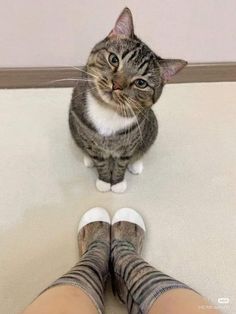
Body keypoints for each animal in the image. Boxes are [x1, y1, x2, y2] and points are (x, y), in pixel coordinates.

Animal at [69, 7, 187, 193]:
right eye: (113, 59)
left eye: (141, 83)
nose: (116, 85)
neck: (108, 111)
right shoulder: (90, 139)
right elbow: (99, 160)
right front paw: (104, 181)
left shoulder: (129, 145)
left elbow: (121, 163)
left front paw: (117, 183)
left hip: (152, 127)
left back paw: (136, 164)